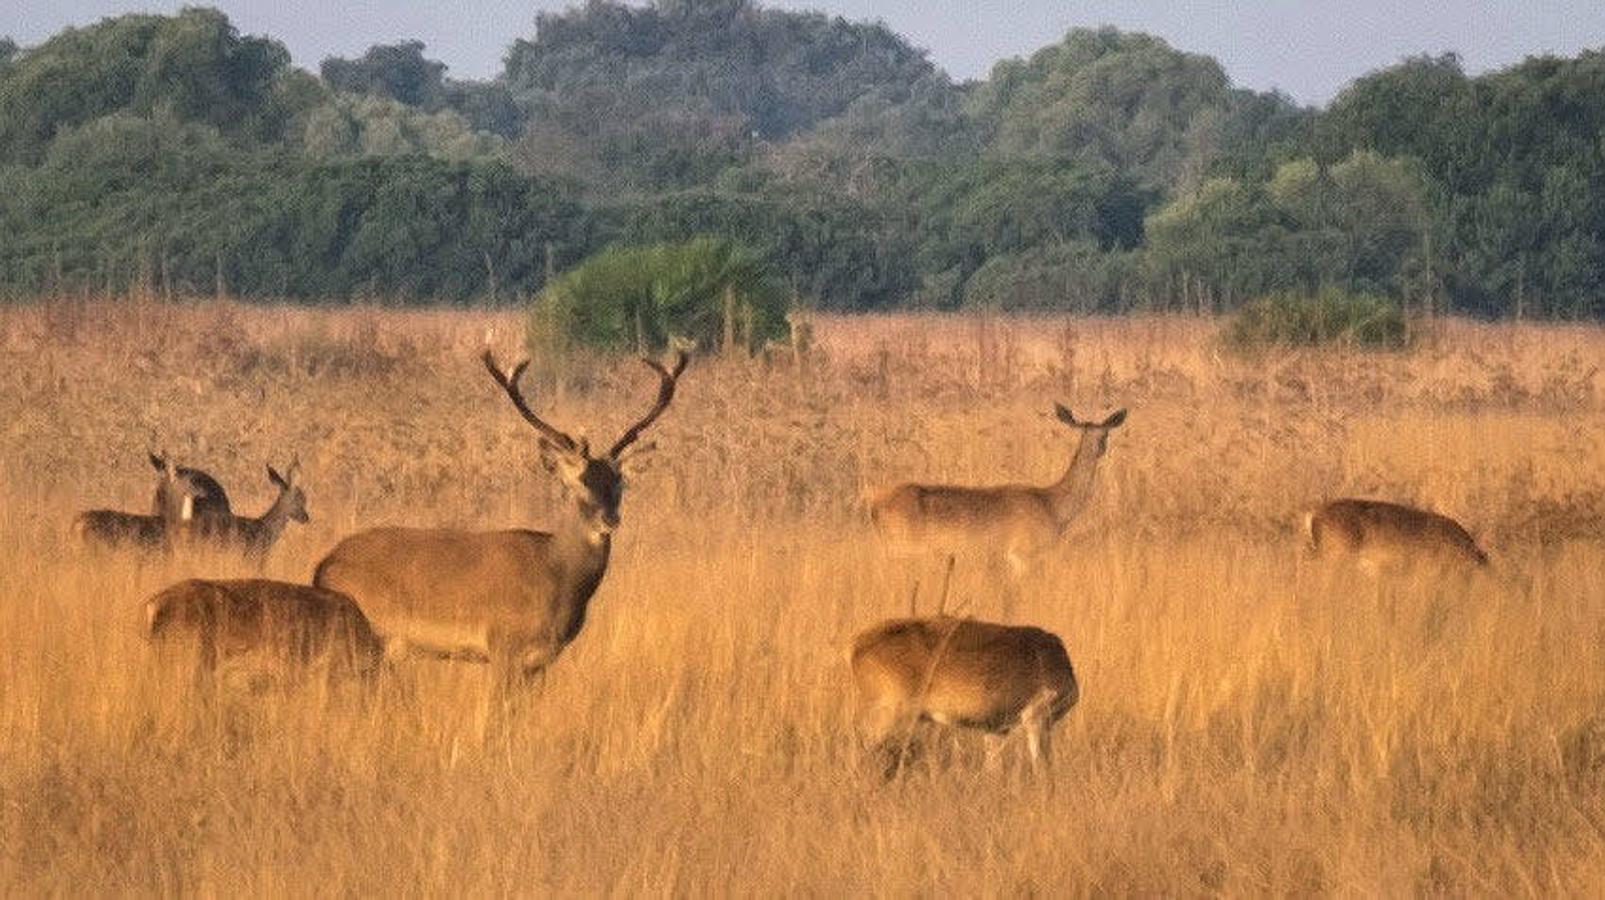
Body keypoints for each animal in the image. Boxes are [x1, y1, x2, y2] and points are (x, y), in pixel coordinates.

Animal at [312, 351, 690, 696]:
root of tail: (323, 566)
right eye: (580, 481)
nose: (609, 518)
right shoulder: (502, 644)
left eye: (619, 482)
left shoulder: (541, 661)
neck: (556, 575)